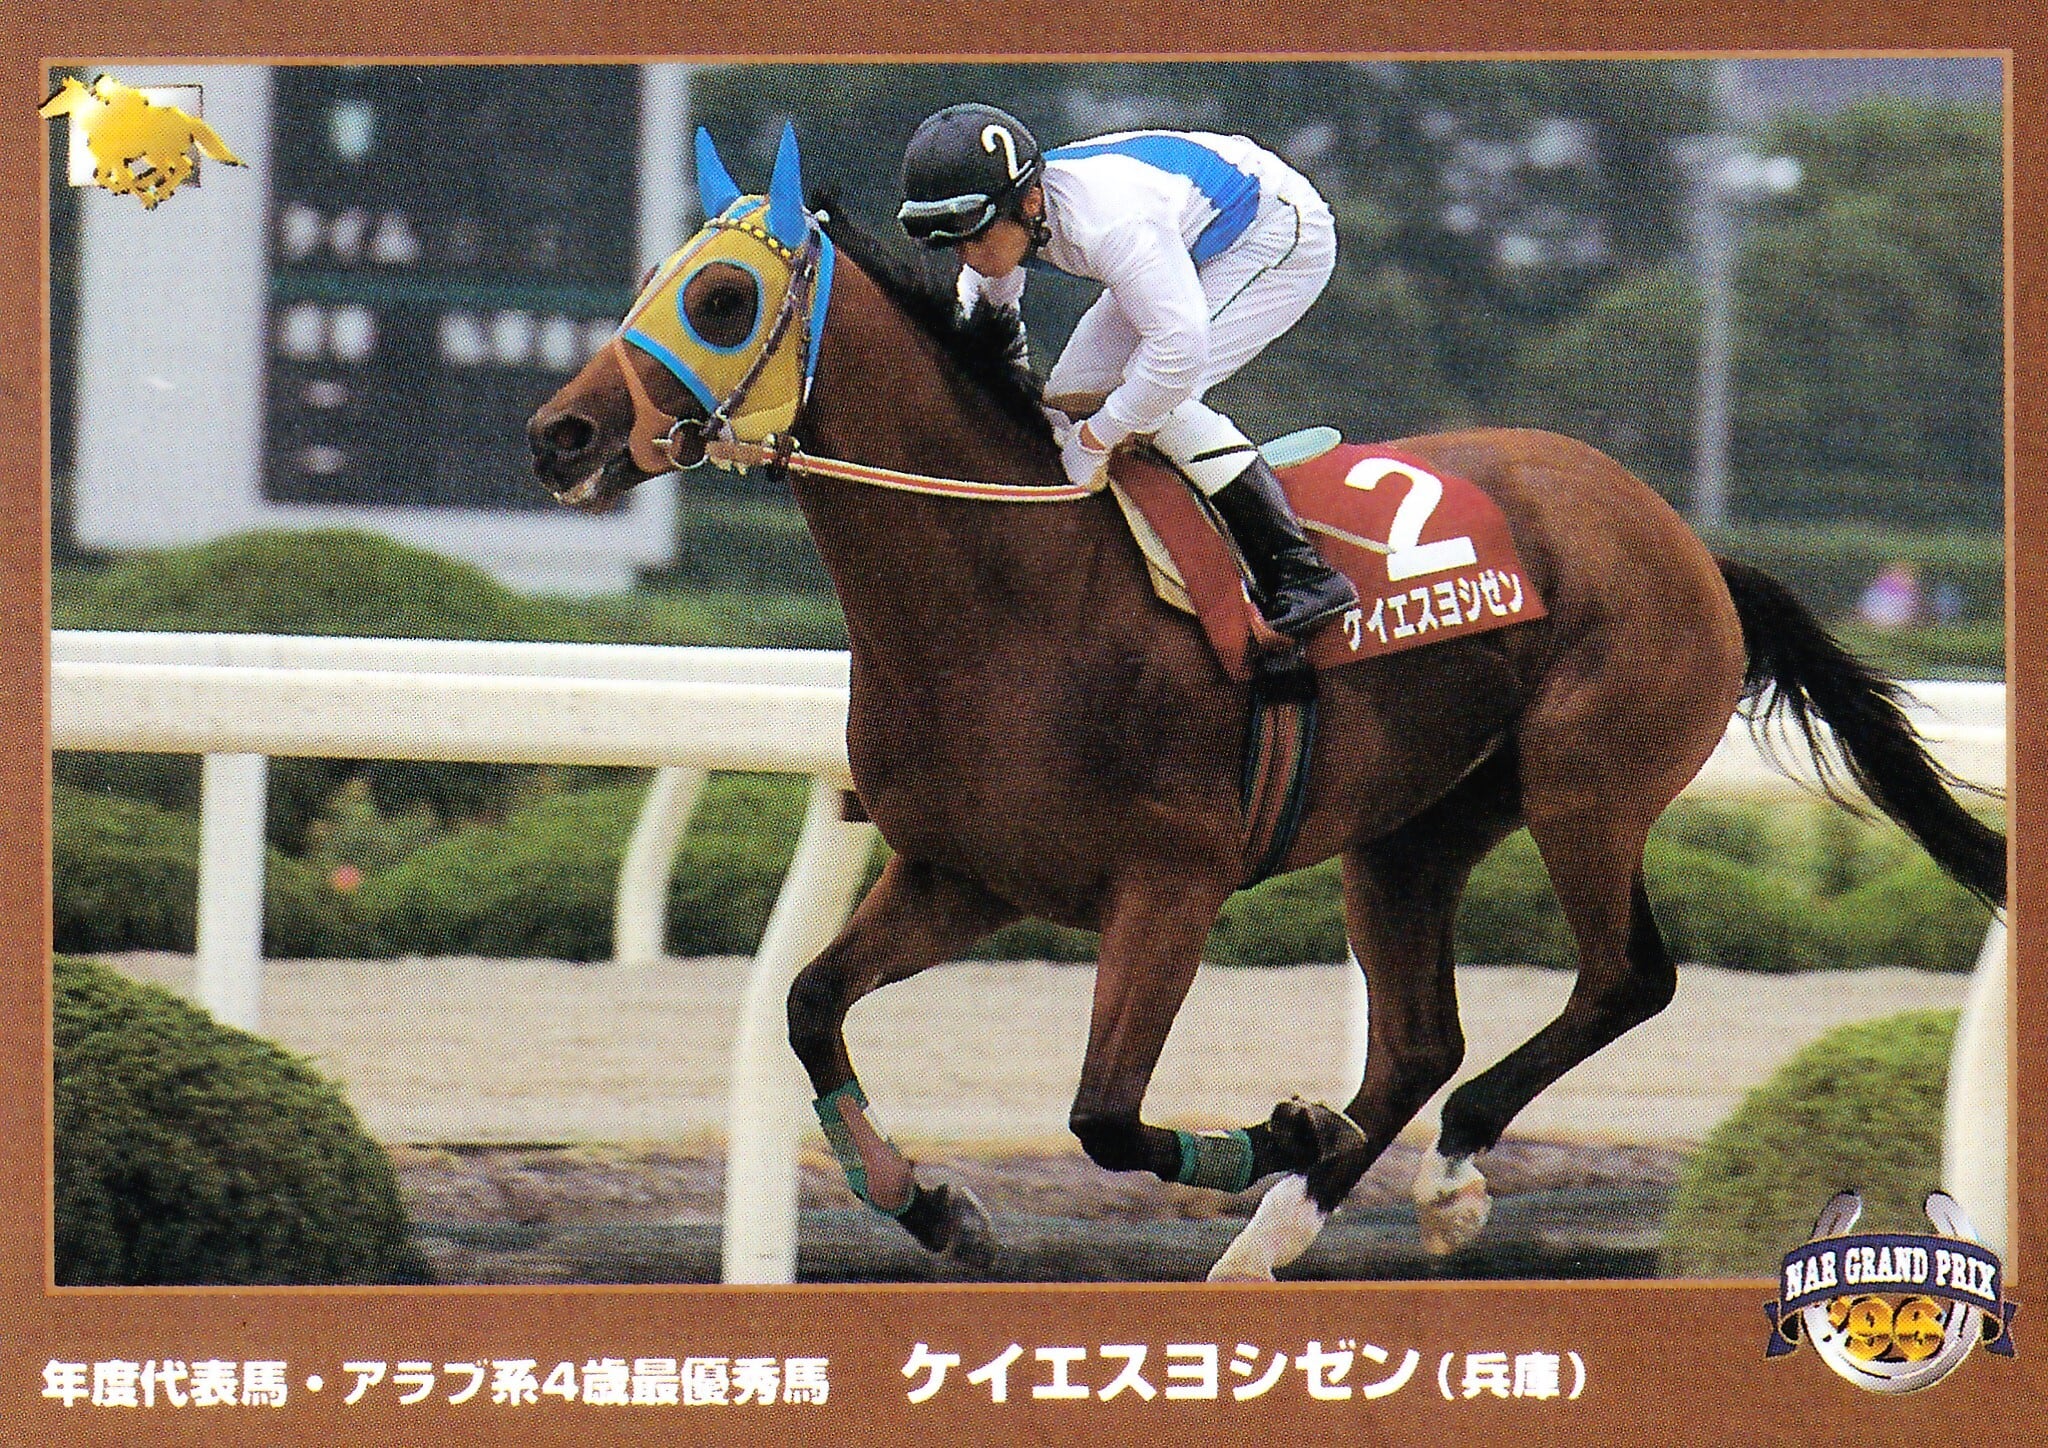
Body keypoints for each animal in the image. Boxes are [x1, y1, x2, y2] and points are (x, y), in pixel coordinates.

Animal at [527, 125, 2004, 1281]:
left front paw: (1280, 1130)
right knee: (1417, 1038)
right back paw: (1275, 1235)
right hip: (1411, 830)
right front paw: (935, 1207)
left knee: (1620, 978)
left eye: (722, 297)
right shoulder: (964, 872)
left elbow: (1102, 1115)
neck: (1011, 588)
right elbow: (806, 1005)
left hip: (1588, 782)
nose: (560, 436)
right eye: (655, 280)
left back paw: (1438, 1168)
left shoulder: (1168, 882)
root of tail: (1689, 542)